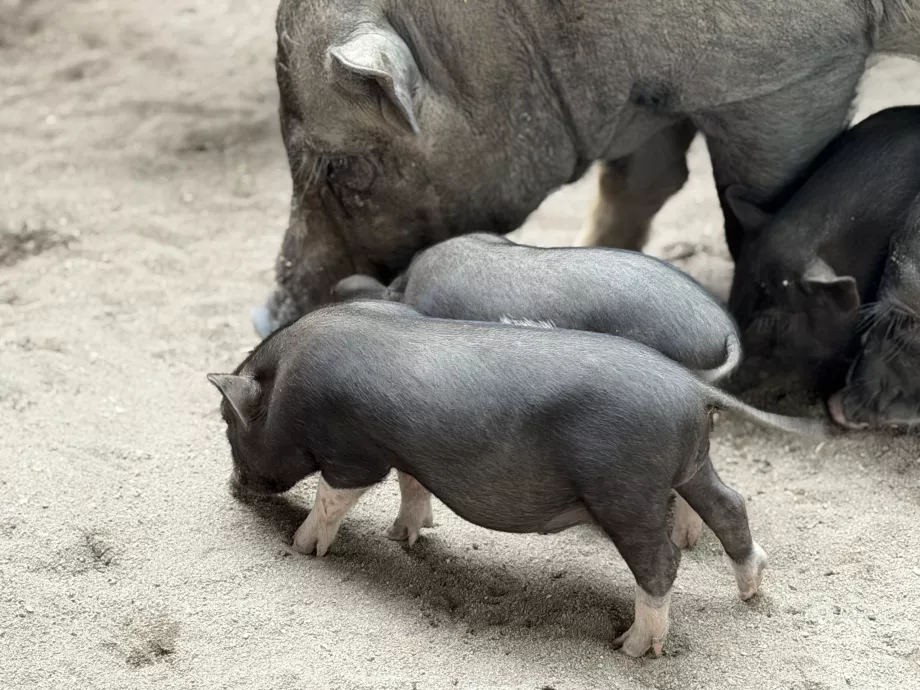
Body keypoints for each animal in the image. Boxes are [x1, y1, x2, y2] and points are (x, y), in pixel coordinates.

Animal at [209, 301, 825, 657]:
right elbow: (413, 486)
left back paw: (630, 647)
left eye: (227, 422)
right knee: (731, 506)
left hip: (627, 491)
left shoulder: (352, 453)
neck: (288, 391)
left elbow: (332, 498)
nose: (233, 489)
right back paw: (751, 590)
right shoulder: (408, 452)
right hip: (693, 466)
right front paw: (400, 537)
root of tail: (694, 388)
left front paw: (301, 546)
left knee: (662, 562)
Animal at [253, 0, 920, 336]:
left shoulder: (788, 75)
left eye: (341, 168)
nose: (268, 316)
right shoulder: (653, 90)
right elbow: (641, 179)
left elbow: (754, 197)